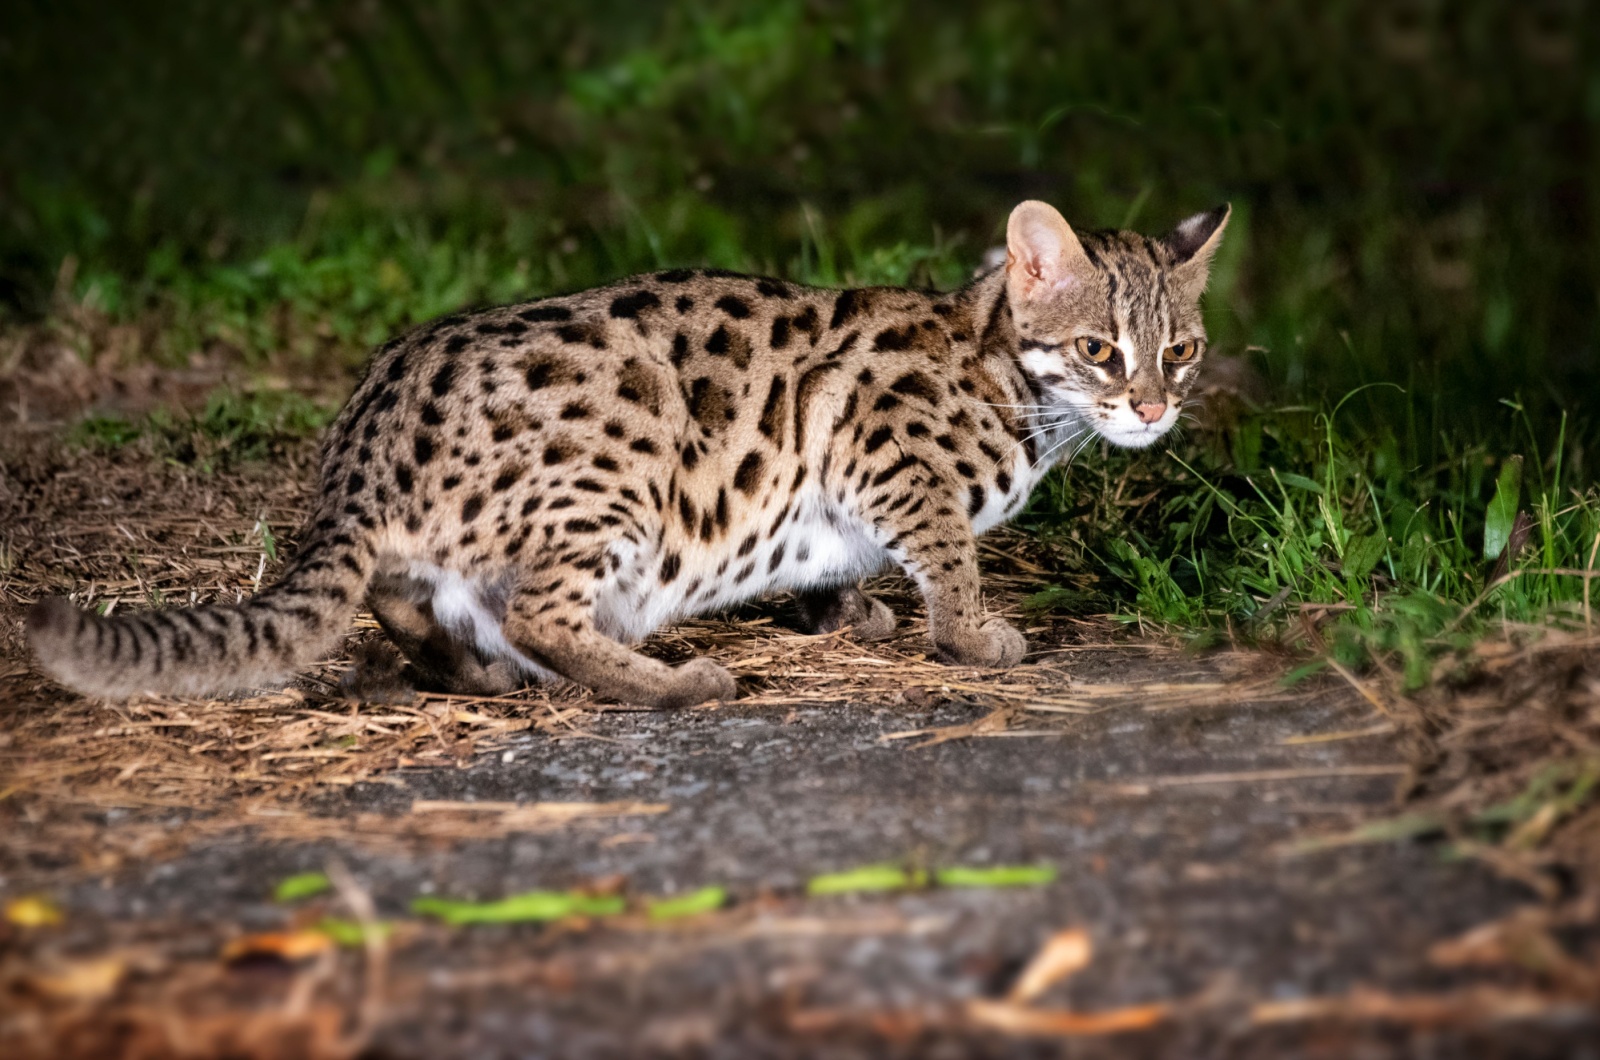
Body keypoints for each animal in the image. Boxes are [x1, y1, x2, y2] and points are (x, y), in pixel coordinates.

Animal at [25, 203, 1228, 710]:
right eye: (1098, 348)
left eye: (1181, 347)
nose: (1154, 408)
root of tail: (362, 446)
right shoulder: (875, 444)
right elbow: (945, 545)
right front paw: (970, 632)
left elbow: (846, 563)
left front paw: (843, 611)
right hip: (618, 472)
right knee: (538, 612)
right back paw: (674, 680)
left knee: (422, 607)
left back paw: (486, 668)